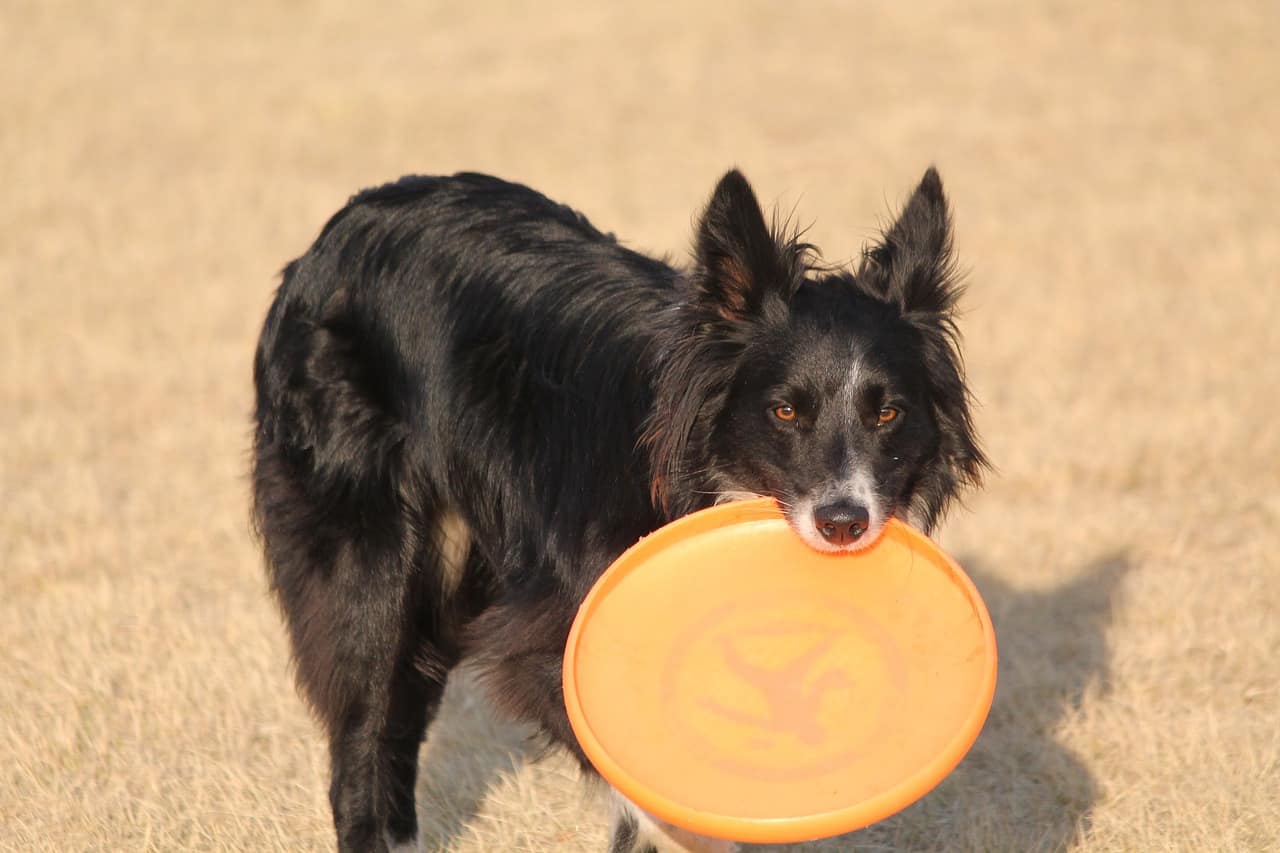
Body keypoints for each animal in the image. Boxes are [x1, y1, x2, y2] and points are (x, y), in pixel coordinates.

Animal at [252, 167, 988, 850]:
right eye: (785, 411)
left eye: (888, 413)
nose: (844, 524)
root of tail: (344, 224)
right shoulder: (552, 644)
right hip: (367, 559)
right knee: (364, 719)